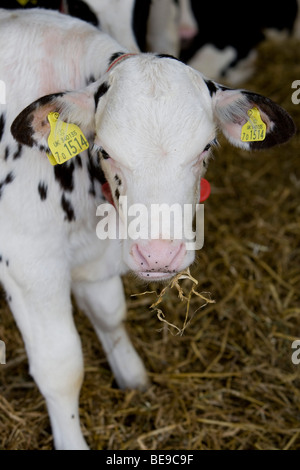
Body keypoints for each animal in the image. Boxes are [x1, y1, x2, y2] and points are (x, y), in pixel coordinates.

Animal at [0, 7, 296, 448]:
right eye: (104, 150)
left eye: (206, 148)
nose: (159, 254)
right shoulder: (29, 262)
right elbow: (61, 367)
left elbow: (109, 313)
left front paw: (132, 377)